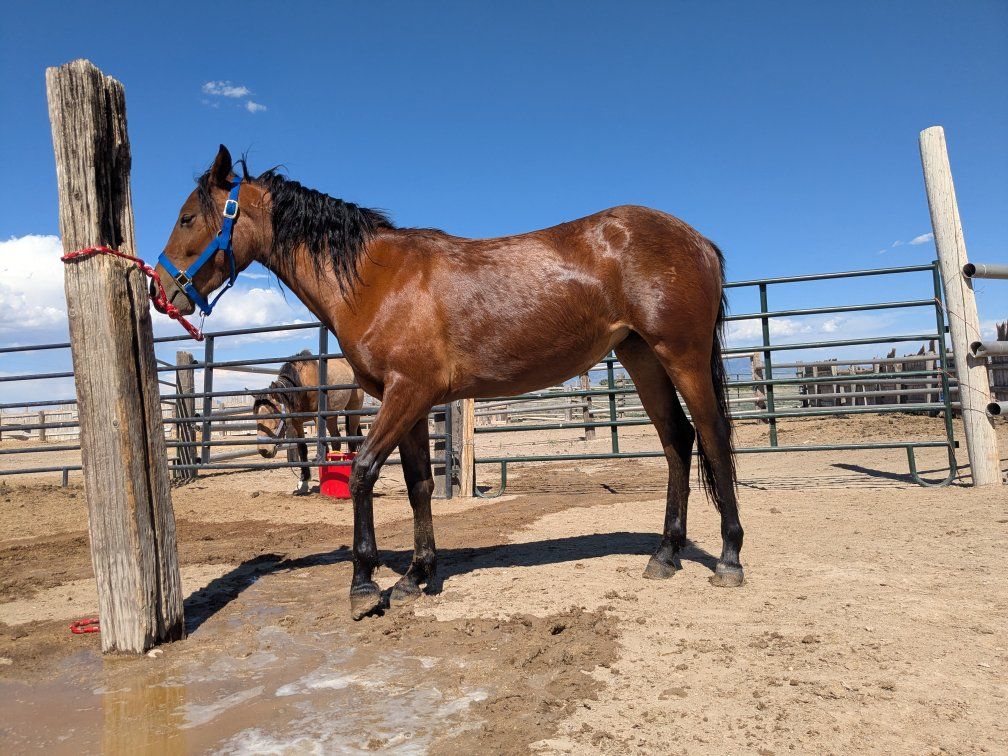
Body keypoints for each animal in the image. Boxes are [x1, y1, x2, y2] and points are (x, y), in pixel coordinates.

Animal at [253, 350, 364, 494]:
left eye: (274, 415)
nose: (264, 450)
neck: (301, 383)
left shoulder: (318, 418)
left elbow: (323, 446)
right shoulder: (297, 421)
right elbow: (302, 449)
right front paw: (303, 482)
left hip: (353, 411)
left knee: (351, 439)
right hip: (332, 417)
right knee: (336, 440)